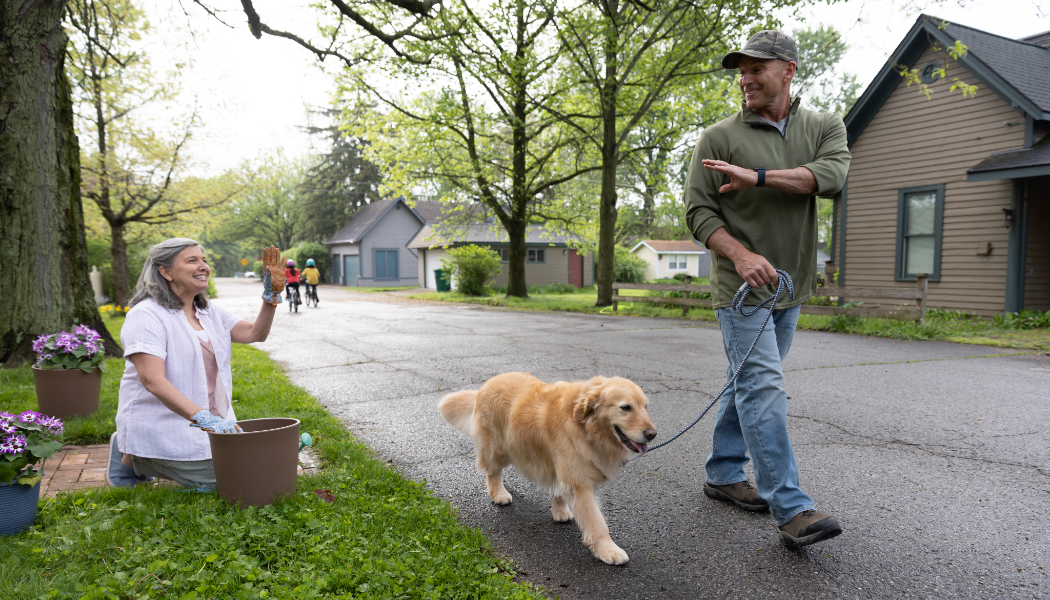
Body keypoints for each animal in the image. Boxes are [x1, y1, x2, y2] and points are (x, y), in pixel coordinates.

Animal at [436, 374, 655, 567]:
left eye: (646, 407)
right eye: (625, 407)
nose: (652, 434)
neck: (585, 428)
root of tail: (486, 384)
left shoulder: (562, 469)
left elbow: (559, 489)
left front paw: (560, 510)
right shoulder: (580, 483)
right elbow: (597, 522)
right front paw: (608, 550)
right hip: (496, 449)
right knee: (493, 472)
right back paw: (499, 493)